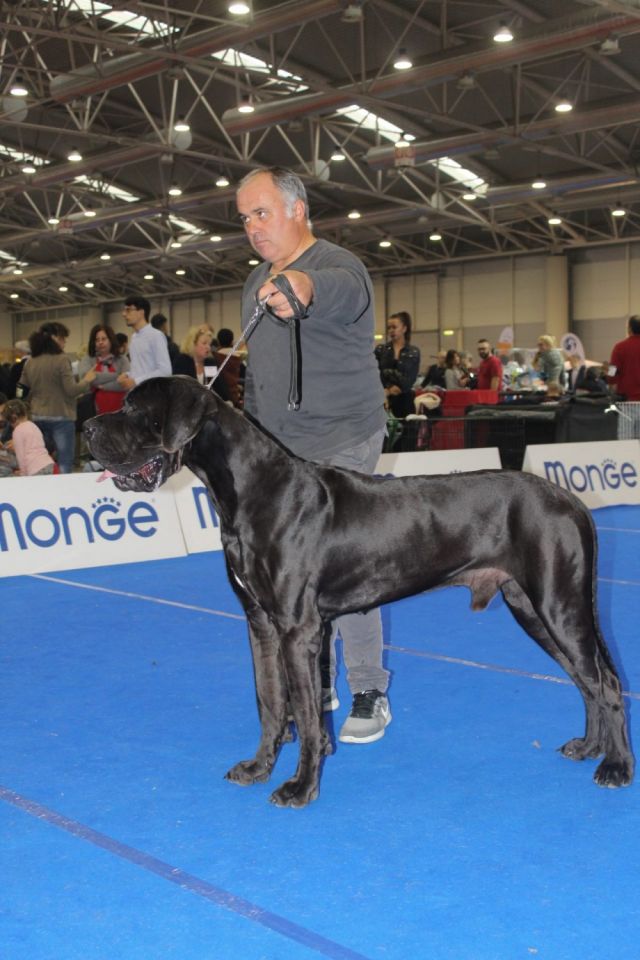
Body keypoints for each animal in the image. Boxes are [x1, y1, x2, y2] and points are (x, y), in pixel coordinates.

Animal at [84, 375, 634, 808]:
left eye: (135, 409)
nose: (88, 427)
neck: (249, 491)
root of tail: (572, 499)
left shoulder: (298, 629)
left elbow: (307, 716)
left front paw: (301, 787)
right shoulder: (261, 624)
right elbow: (270, 703)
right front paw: (259, 767)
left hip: (559, 604)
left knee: (606, 682)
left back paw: (617, 767)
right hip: (532, 609)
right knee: (586, 680)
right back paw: (588, 747)